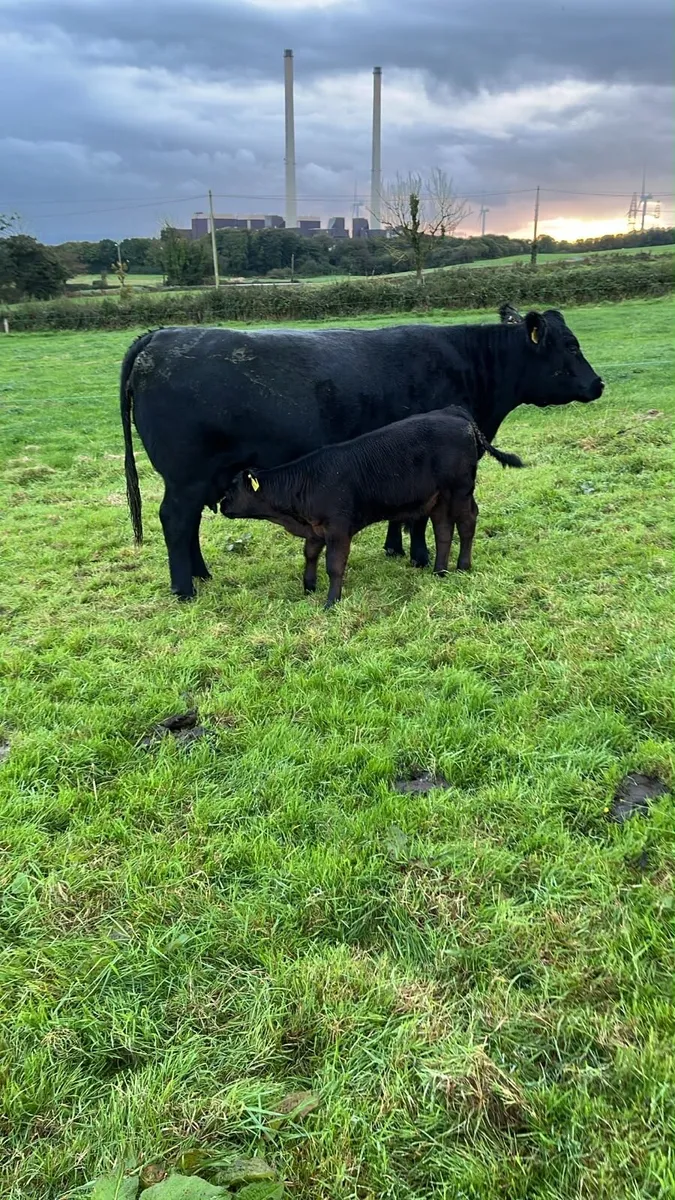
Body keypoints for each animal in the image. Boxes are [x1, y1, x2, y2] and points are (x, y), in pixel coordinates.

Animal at [219, 406, 524, 607]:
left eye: (232, 488)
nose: (220, 505)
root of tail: (455, 414)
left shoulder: (338, 529)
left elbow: (334, 565)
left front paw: (331, 602)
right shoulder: (316, 530)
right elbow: (310, 555)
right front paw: (308, 587)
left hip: (460, 490)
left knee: (467, 522)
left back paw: (462, 566)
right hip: (438, 498)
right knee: (443, 530)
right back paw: (439, 571)